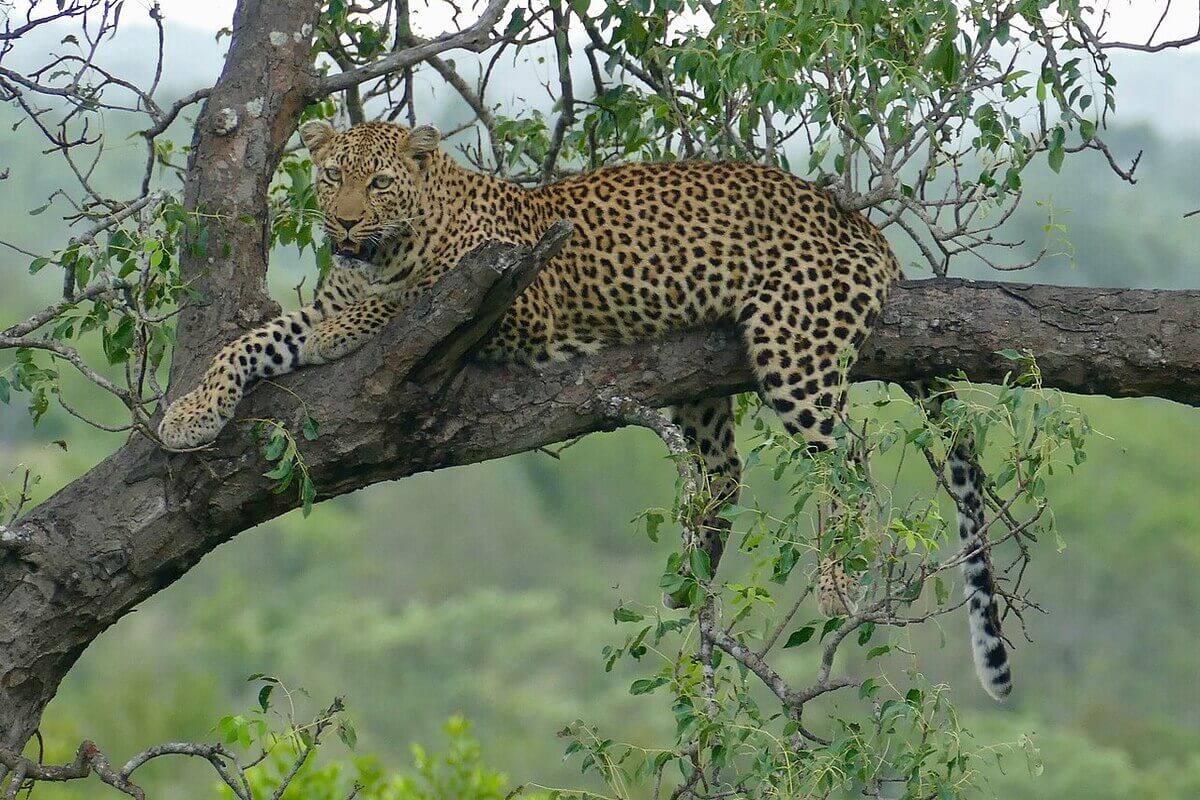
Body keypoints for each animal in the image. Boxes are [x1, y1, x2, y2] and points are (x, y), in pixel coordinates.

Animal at [154, 118, 1008, 700]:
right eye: (333, 175)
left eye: (382, 183)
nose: (347, 223)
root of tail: (865, 228)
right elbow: (253, 340)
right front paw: (188, 415)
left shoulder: (514, 299)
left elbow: (401, 302)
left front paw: (350, 324)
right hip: (702, 385)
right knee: (725, 471)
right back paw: (691, 580)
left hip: (791, 342)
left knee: (845, 460)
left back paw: (835, 583)